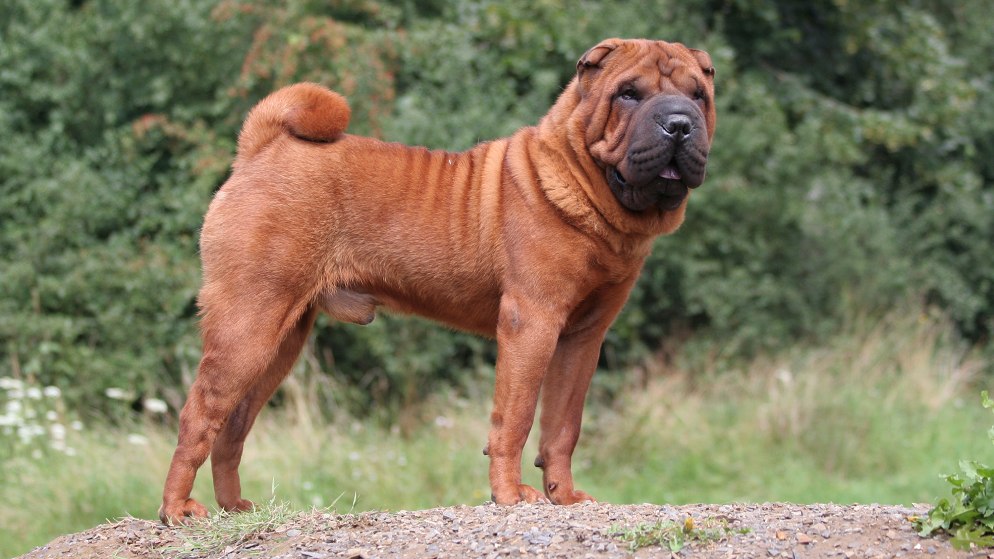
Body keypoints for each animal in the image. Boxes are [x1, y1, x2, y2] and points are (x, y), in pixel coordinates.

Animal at [161, 38, 712, 524]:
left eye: (699, 96)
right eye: (629, 94)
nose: (680, 123)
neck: (587, 187)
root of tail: (262, 148)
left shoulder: (582, 337)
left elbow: (563, 425)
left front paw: (565, 497)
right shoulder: (532, 322)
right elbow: (514, 418)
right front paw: (510, 496)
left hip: (281, 338)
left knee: (232, 426)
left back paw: (234, 509)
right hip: (249, 322)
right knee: (198, 415)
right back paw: (177, 511)